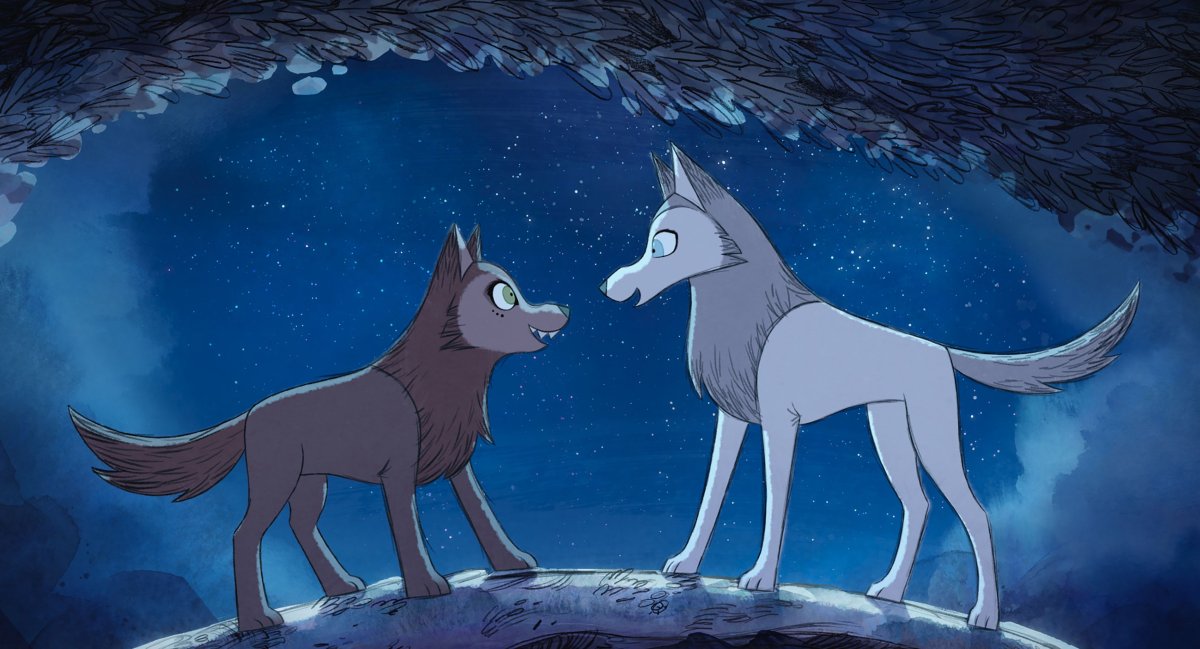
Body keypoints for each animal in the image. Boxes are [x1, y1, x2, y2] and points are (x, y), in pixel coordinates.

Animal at [72, 225, 569, 631]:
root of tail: (250, 413)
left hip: (311, 482)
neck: (437, 378)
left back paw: (341, 587)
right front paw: (426, 586)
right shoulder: (397, 473)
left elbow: (482, 514)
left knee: (301, 525)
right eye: (504, 296)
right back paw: (257, 620)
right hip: (276, 479)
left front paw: (513, 562)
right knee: (245, 534)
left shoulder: (460, 464)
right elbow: (408, 528)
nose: (562, 307)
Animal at [600, 145, 1139, 630]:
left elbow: (776, 498)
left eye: (663, 244)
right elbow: (711, 493)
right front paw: (686, 565)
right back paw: (891, 592)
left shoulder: (780, 423)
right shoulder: (731, 418)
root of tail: (943, 350)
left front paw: (761, 578)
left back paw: (985, 617)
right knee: (919, 504)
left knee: (977, 513)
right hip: (888, 430)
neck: (749, 311)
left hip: (931, 434)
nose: (610, 287)